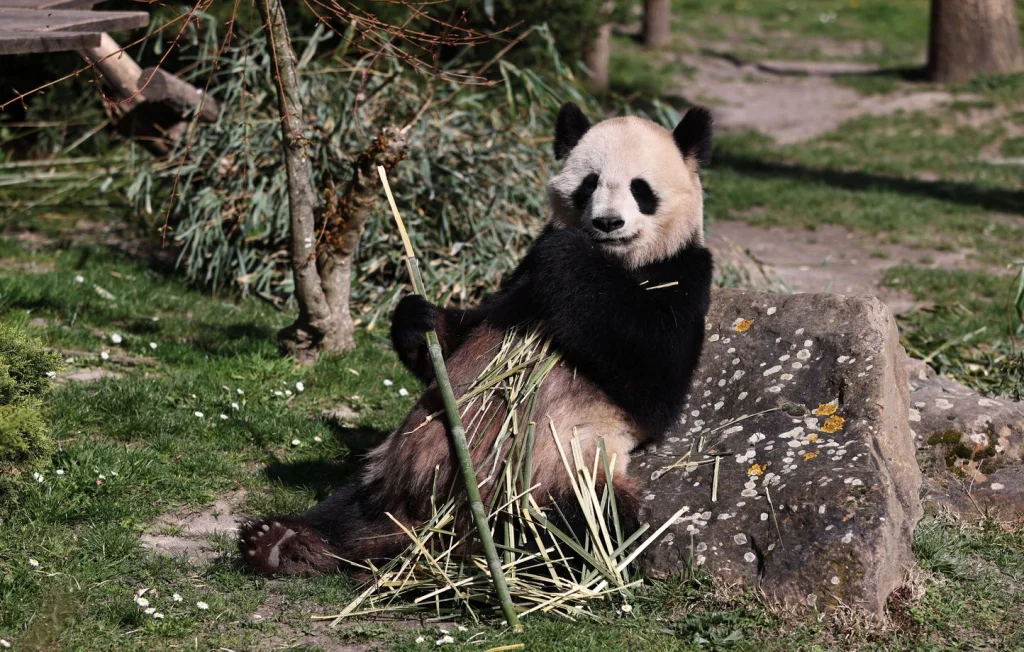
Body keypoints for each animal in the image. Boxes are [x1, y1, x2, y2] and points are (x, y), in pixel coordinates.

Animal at [239, 102, 714, 576]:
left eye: (640, 189)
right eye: (589, 184)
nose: (607, 223)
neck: (617, 262)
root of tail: (438, 524)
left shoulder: (684, 277)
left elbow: (653, 380)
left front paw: (569, 256)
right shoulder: (520, 278)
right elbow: (463, 336)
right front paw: (419, 317)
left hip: (562, 473)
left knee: (583, 527)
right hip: (396, 462)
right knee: (353, 504)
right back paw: (284, 542)